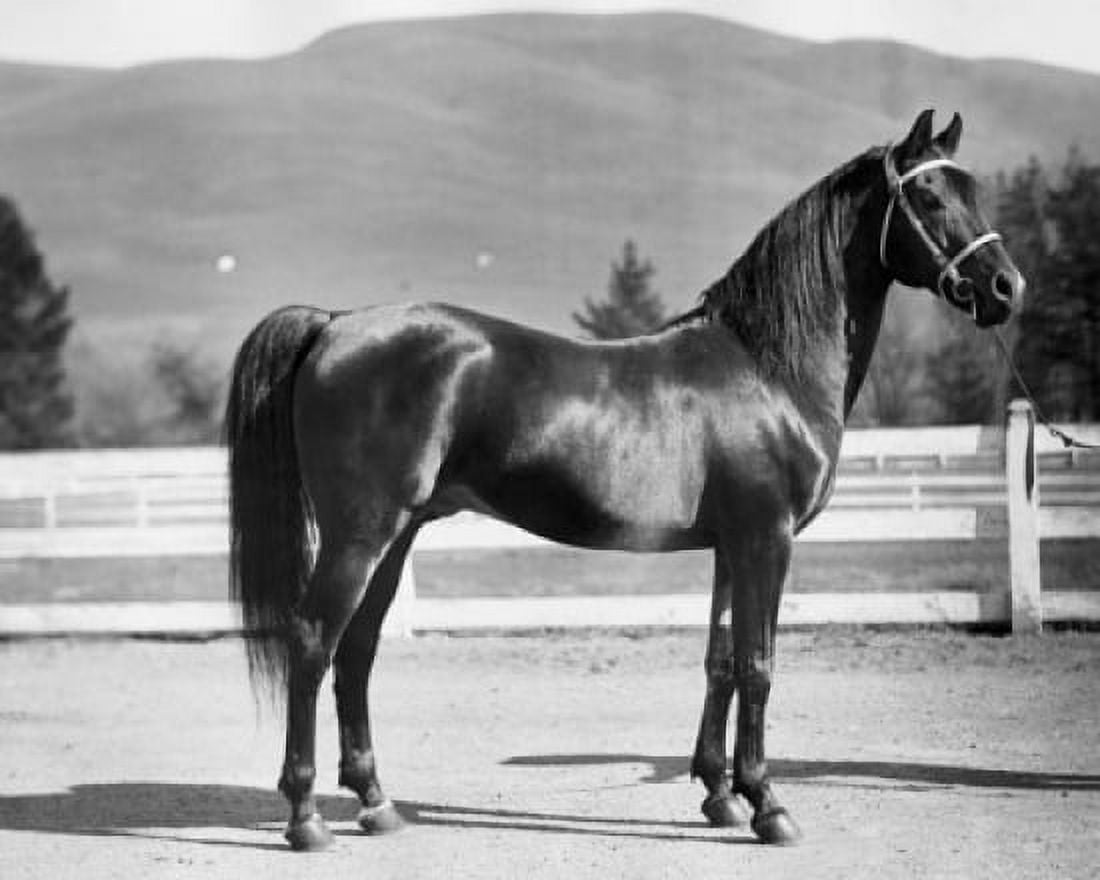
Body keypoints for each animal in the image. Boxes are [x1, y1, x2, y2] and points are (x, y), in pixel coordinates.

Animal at [224, 109, 1024, 850]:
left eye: (972, 190)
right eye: (929, 197)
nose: (1006, 288)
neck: (769, 367)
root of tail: (335, 323)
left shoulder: (732, 547)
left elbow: (721, 662)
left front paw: (719, 795)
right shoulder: (768, 540)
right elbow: (759, 665)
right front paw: (768, 806)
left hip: (395, 536)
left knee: (356, 650)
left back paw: (375, 803)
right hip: (361, 535)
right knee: (312, 641)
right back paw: (305, 818)